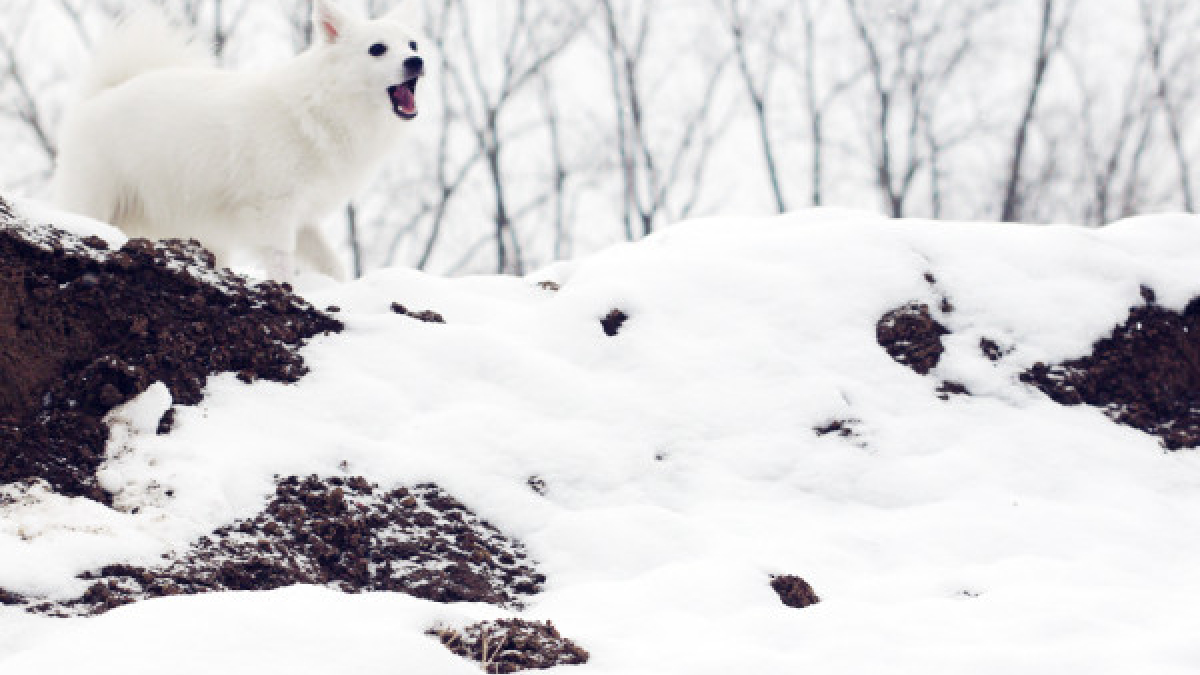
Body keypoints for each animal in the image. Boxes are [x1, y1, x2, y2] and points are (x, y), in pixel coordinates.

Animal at [52, 0, 427, 278]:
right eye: (377, 49)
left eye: (412, 44)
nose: (417, 60)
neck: (319, 107)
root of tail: (102, 93)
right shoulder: (273, 211)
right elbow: (281, 263)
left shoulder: (304, 218)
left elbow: (332, 265)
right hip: (96, 201)